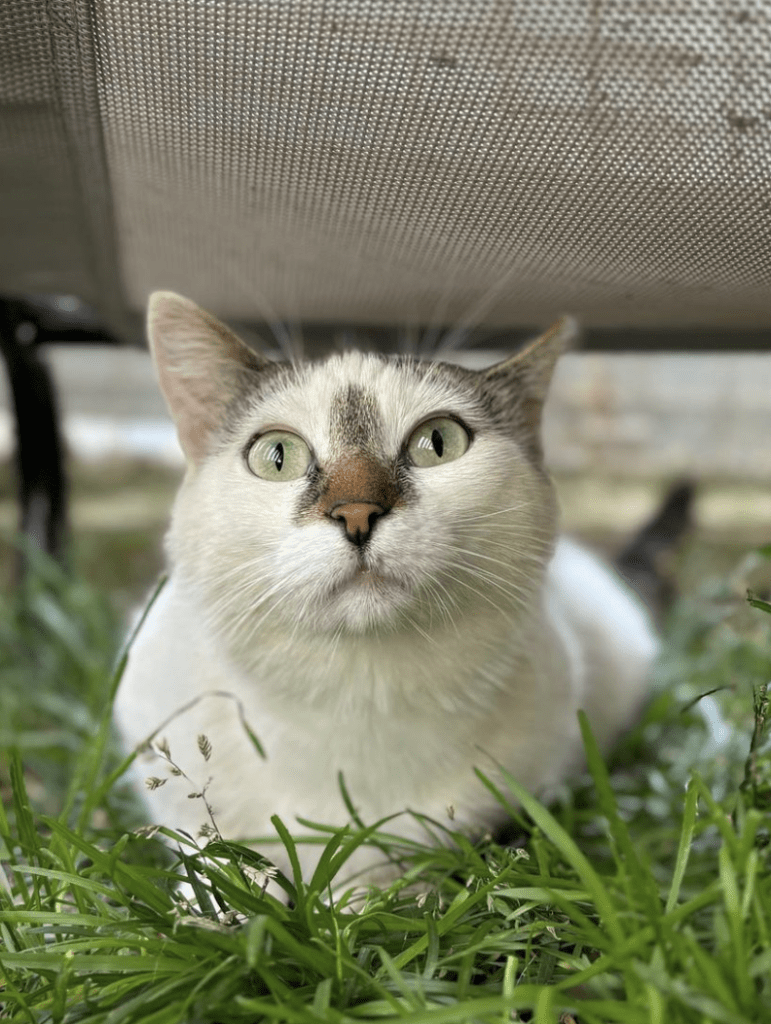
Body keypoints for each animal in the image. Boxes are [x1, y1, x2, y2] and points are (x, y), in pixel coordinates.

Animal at [114, 292, 655, 892]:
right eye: (277, 455)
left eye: (439, 443)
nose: (356, 513)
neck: (357, 694)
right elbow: (210, 854)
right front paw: (226, 899)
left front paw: (369, 896)